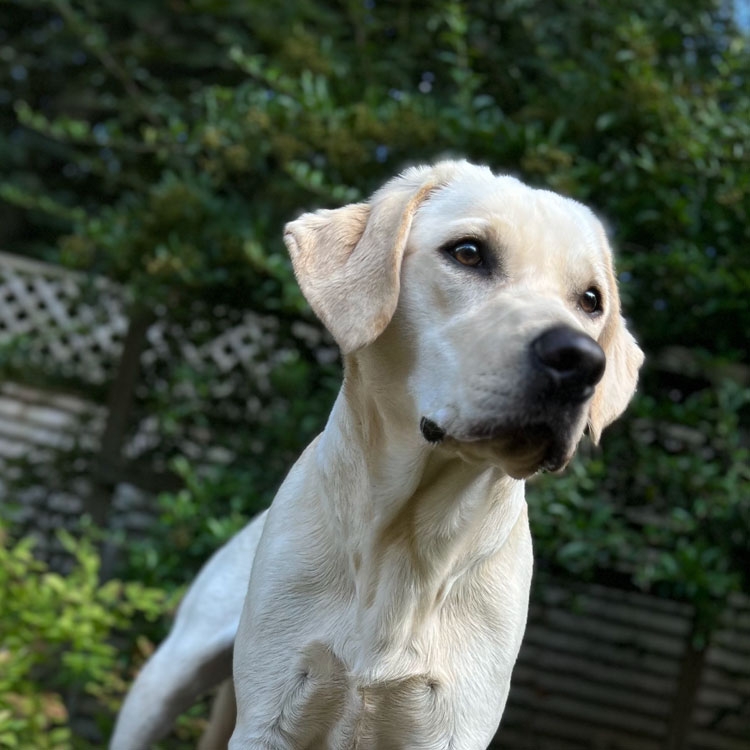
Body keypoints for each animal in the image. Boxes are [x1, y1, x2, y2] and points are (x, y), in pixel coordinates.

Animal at [111, 160, 648, 750]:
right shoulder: (268, 719)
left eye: (591, 300)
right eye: (468, 252)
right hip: (166, 680)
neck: (405, 543)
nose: (581, 361)